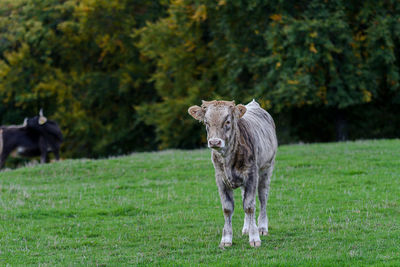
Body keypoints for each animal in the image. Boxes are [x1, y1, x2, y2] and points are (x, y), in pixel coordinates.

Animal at [188, 100, 278, 249]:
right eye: (206, 122)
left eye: (228, 121)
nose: (214, 142)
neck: (228, 159)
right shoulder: (220, 179)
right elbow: (227, 208)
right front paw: (226, 239)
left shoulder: (251, 175)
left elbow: (249, 206)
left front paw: (254, 238)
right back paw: (246, 228)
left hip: (266, 169)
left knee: (262, 198)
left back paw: (262, 228)